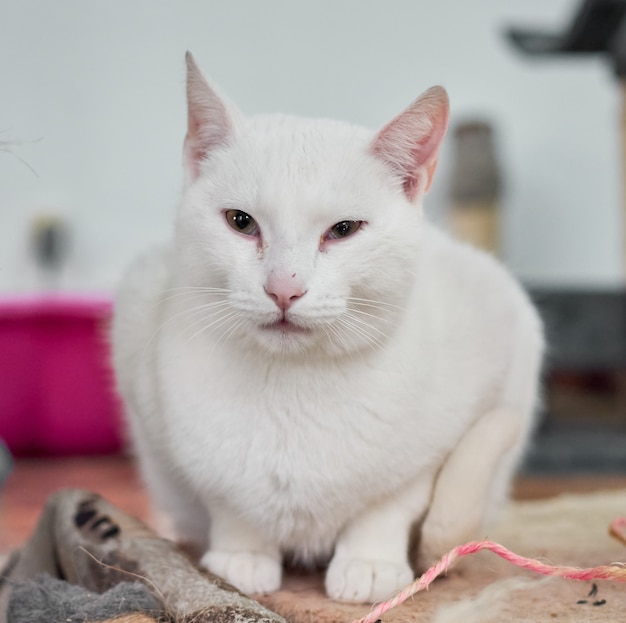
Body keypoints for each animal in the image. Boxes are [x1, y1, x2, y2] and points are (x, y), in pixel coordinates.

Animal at [112, 53, 540, 604]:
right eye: (240, 221)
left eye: (343, 230)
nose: (283, 288)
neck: (293, 389)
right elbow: (230, 505)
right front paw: (240, 558)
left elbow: (389, 504)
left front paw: (370, 563)